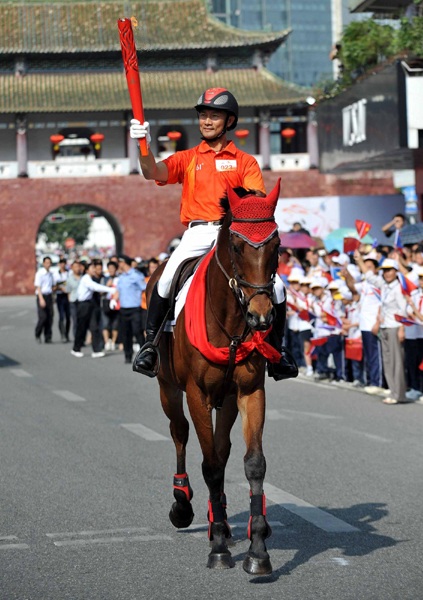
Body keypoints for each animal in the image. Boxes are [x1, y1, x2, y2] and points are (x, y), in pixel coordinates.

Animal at [147, 184, 284, 576]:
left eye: (277, 244)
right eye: (237, 246)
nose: (261, 316)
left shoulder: (249, 392)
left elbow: (252, 463)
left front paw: (257, 549)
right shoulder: (196, 393)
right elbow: (208, 465)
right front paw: (220, 547)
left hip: (225, 399)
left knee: (222, 452)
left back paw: (217, 516)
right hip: (168, 387)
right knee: (180, 434)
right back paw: (184, 505)